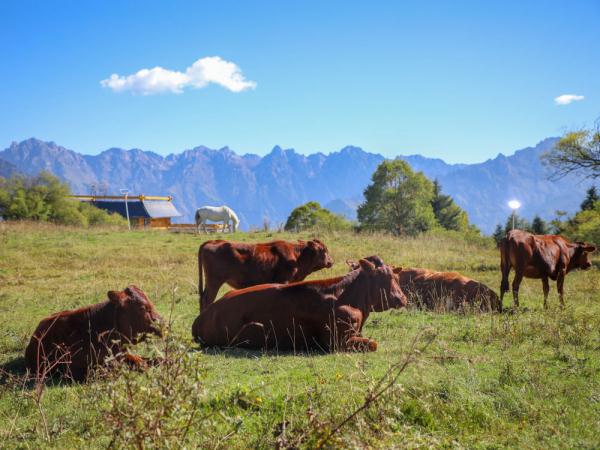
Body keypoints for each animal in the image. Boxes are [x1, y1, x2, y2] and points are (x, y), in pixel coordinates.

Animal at [192, 258, 408, 354]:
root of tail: (202, 317)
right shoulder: (337, 342)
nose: (403, 299)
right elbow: (373, 343)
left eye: (395, 275)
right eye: (386, 277)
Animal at [199, 237, 336, 312]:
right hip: (214, 281)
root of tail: (215, 241)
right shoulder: (283, 280)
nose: (331, 261)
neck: (297, 257)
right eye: (323, 250)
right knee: (207, 299)